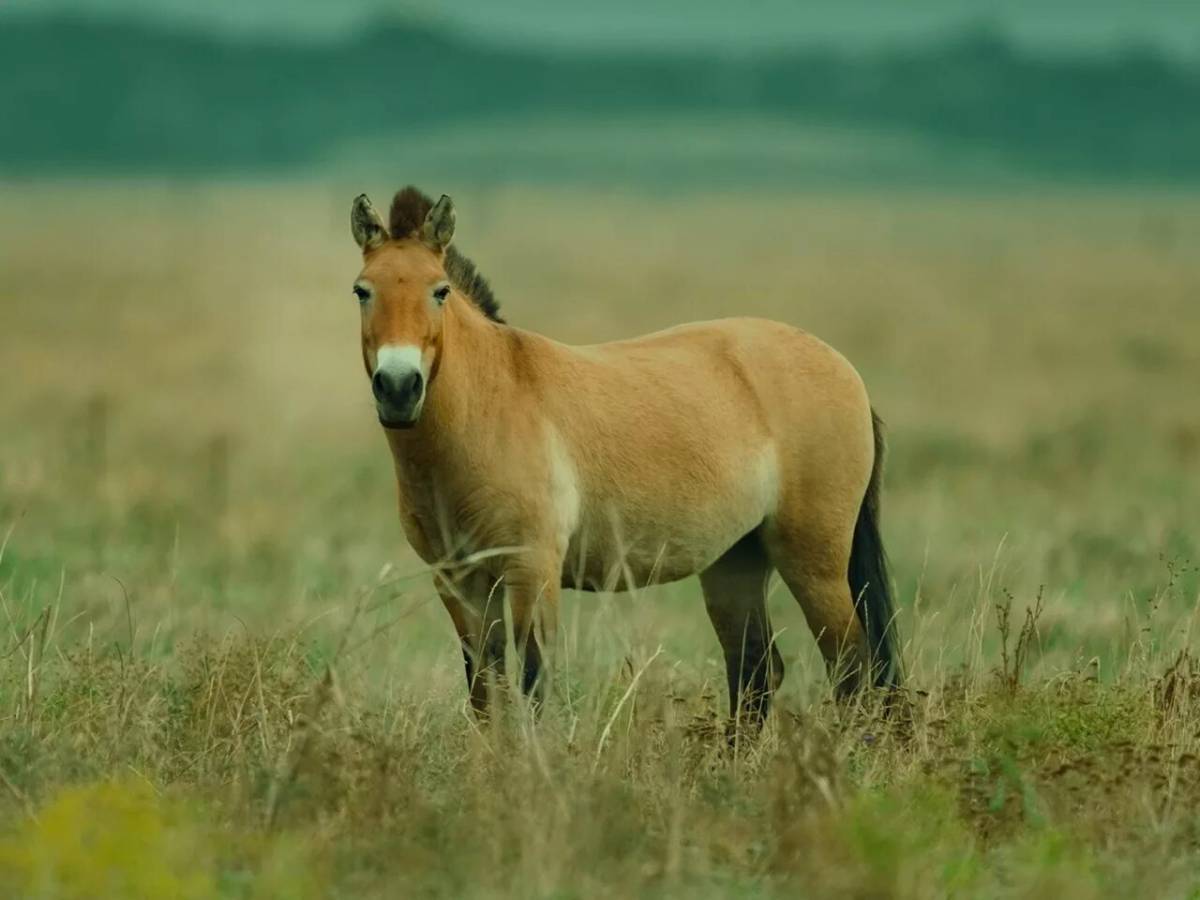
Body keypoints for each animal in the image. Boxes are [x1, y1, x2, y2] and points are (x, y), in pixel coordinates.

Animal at [348, 187, 902, 729]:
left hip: (813, 561)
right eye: (362, 290)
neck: (492, 406)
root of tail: (844, 370)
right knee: (756, 669)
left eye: (439, 290)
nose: (398, 388)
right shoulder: (459, 581)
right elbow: (485, 691)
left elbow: (531, 685)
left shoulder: (533, 570)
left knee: (852, 666)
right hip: (736, 562)